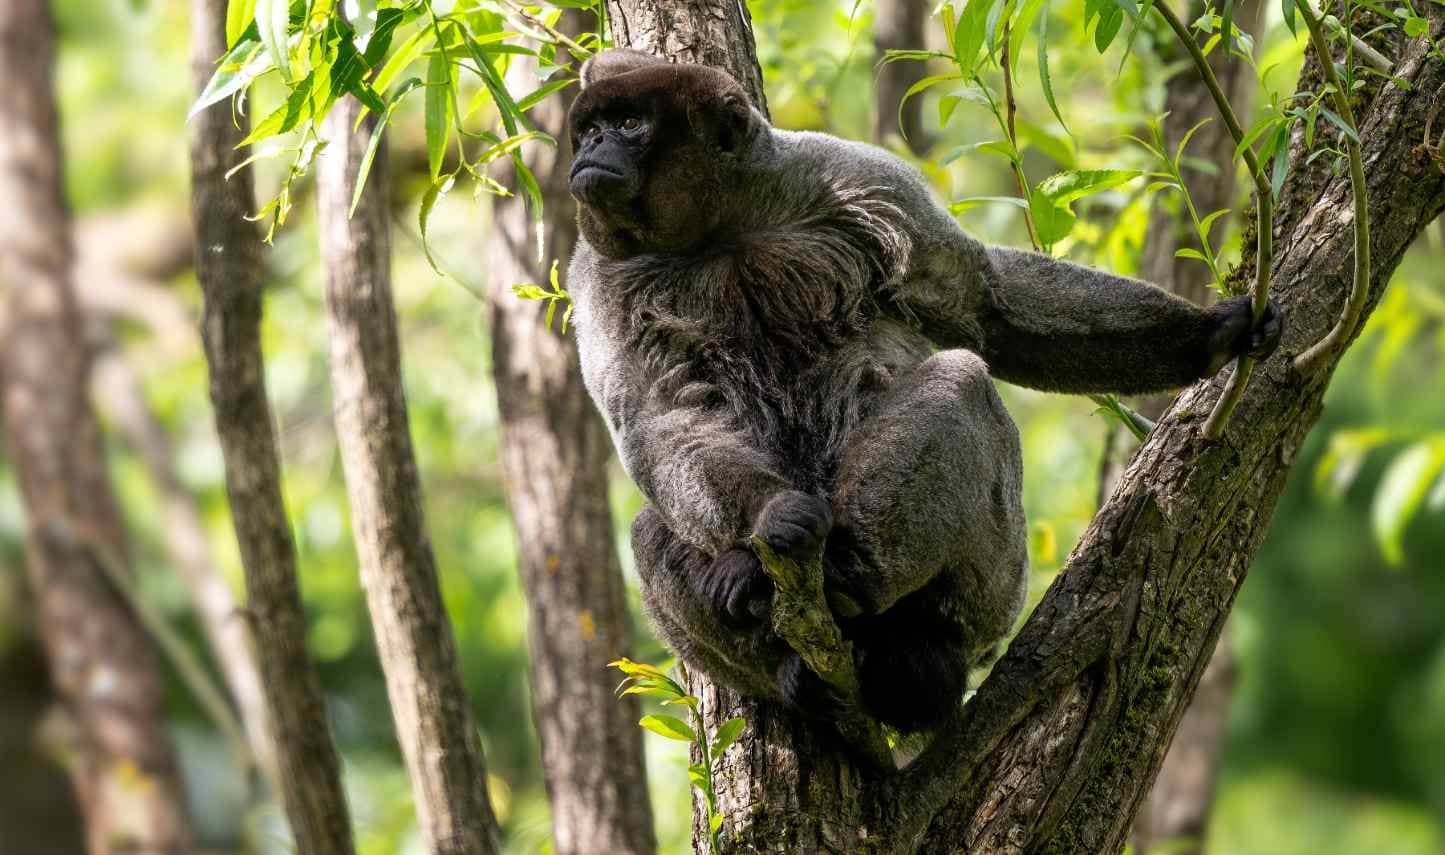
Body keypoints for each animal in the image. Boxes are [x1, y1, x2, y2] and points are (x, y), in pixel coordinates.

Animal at [564, 49, 1282, 733]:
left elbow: (984, 301)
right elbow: (659, 416)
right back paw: (780, 644)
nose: (589, 148)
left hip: (993, 592)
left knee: (959, 381)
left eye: (629, 123)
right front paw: (772, 517)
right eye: (589, 128)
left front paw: (1210, 336)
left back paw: (867, 590)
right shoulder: (598, 277)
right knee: (650, 526)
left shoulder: (860, 178)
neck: (723, 231)